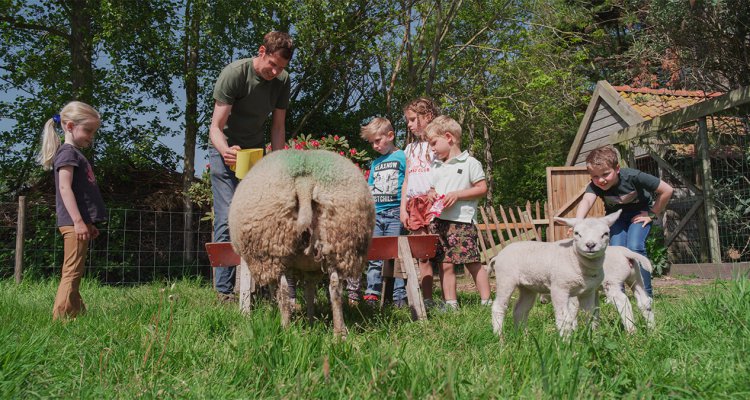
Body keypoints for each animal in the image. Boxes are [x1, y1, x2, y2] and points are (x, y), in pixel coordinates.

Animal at [490, 211, 620, 340]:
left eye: (606, 233)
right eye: (576, 233)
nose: (590, 245)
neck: (573, 257)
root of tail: (498, 256)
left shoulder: (588, 291)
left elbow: (590, 314)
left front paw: (592, 338)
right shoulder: (559, 288)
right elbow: (564, 317)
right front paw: (566, 341)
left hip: (527, 287)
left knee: (520, 310)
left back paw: (523, 336)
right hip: (505, 278)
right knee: (499, 307)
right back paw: (499, 336)